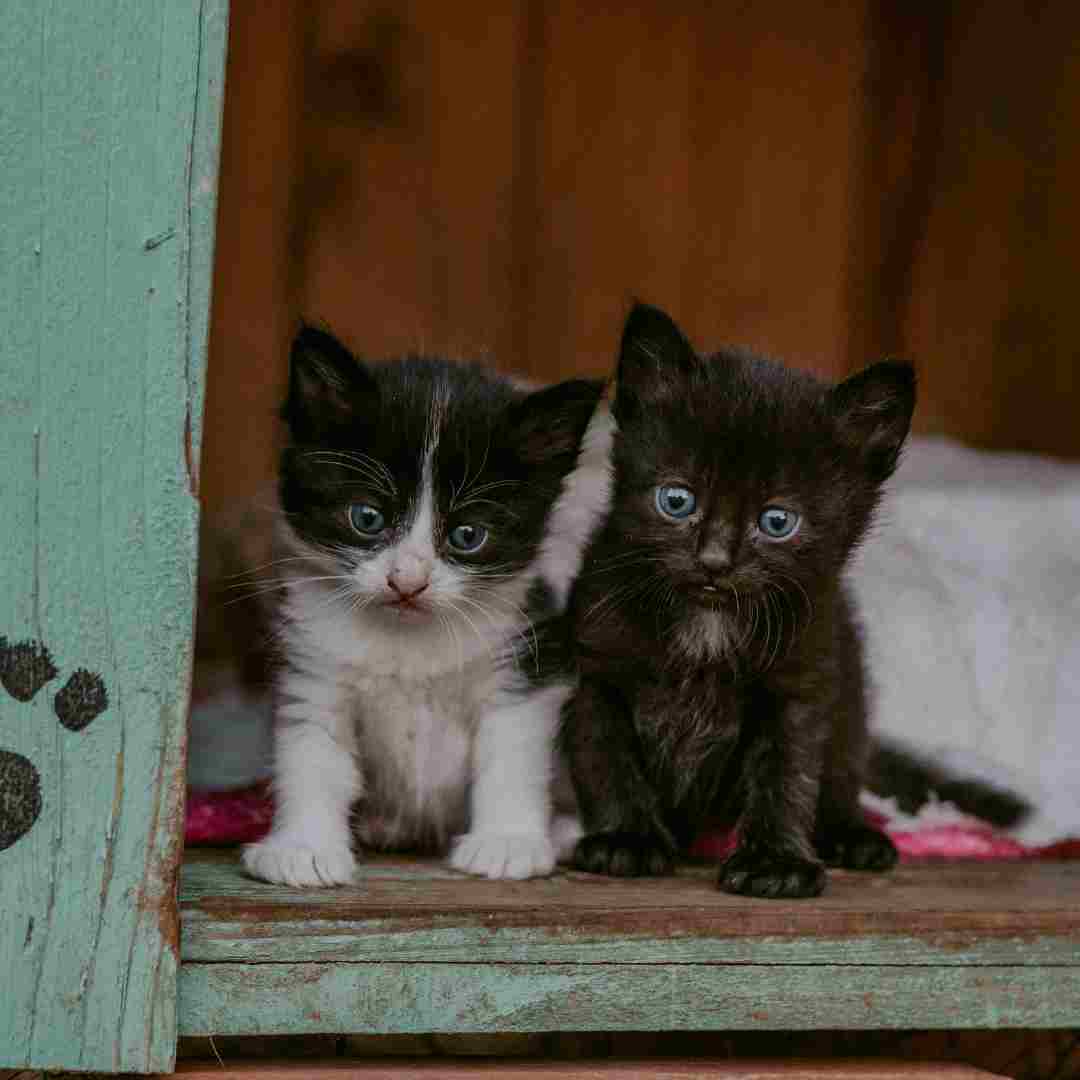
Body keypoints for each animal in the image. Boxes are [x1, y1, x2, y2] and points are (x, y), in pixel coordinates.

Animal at [239, 328, 604, 885]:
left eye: (468, 536)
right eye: (366, 517)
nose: (407, 581)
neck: (408, 638)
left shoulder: (526, 656)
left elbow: (512, 751)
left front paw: (508, 841)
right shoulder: (312, 666)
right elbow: (311, 753)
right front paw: (302, 846)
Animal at [561, 302, 915, 894]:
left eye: (777, 521)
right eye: (676, 500)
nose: (714, 561)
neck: (708, 623)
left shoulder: (800, 683)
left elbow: (786, 773)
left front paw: (776, 861)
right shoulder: (597, 668)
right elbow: (605, 755)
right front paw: (625, 838)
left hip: (851, 691)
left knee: (843, 766)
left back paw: (850, 833)